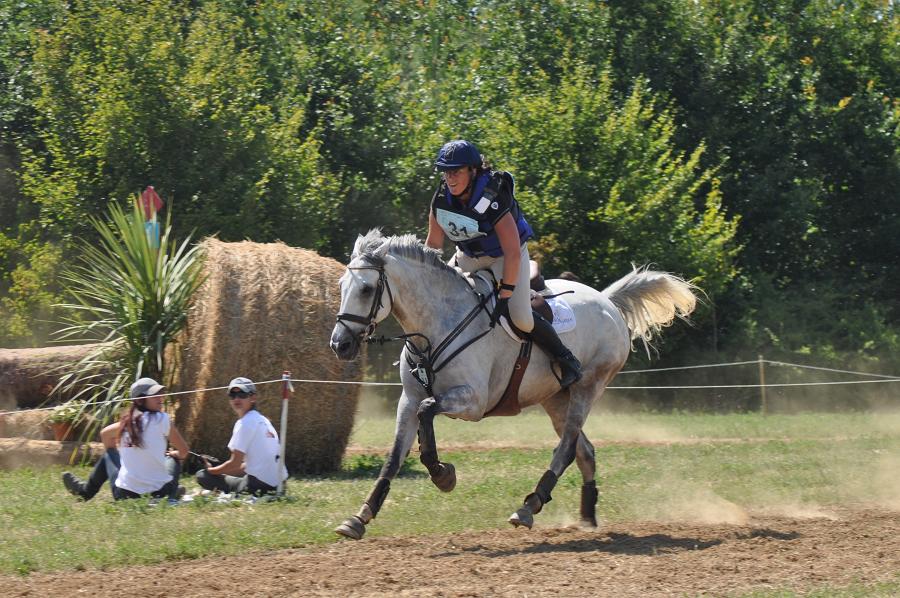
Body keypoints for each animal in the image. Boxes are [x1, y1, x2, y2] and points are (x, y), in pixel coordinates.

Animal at [328, 229, 696, 540]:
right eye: (342, 285)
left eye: (366, 289)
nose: (339, 345)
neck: (435, 327)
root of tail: (607, 302)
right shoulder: (408, 399)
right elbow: (395, 455)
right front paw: (359, 518)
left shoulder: (472, 402)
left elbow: (428, 411)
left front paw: (443, 474)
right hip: (555, 399)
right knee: (585, 451)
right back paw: (587, 517)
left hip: (587, 388)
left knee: (566, 449)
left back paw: (529, 506)